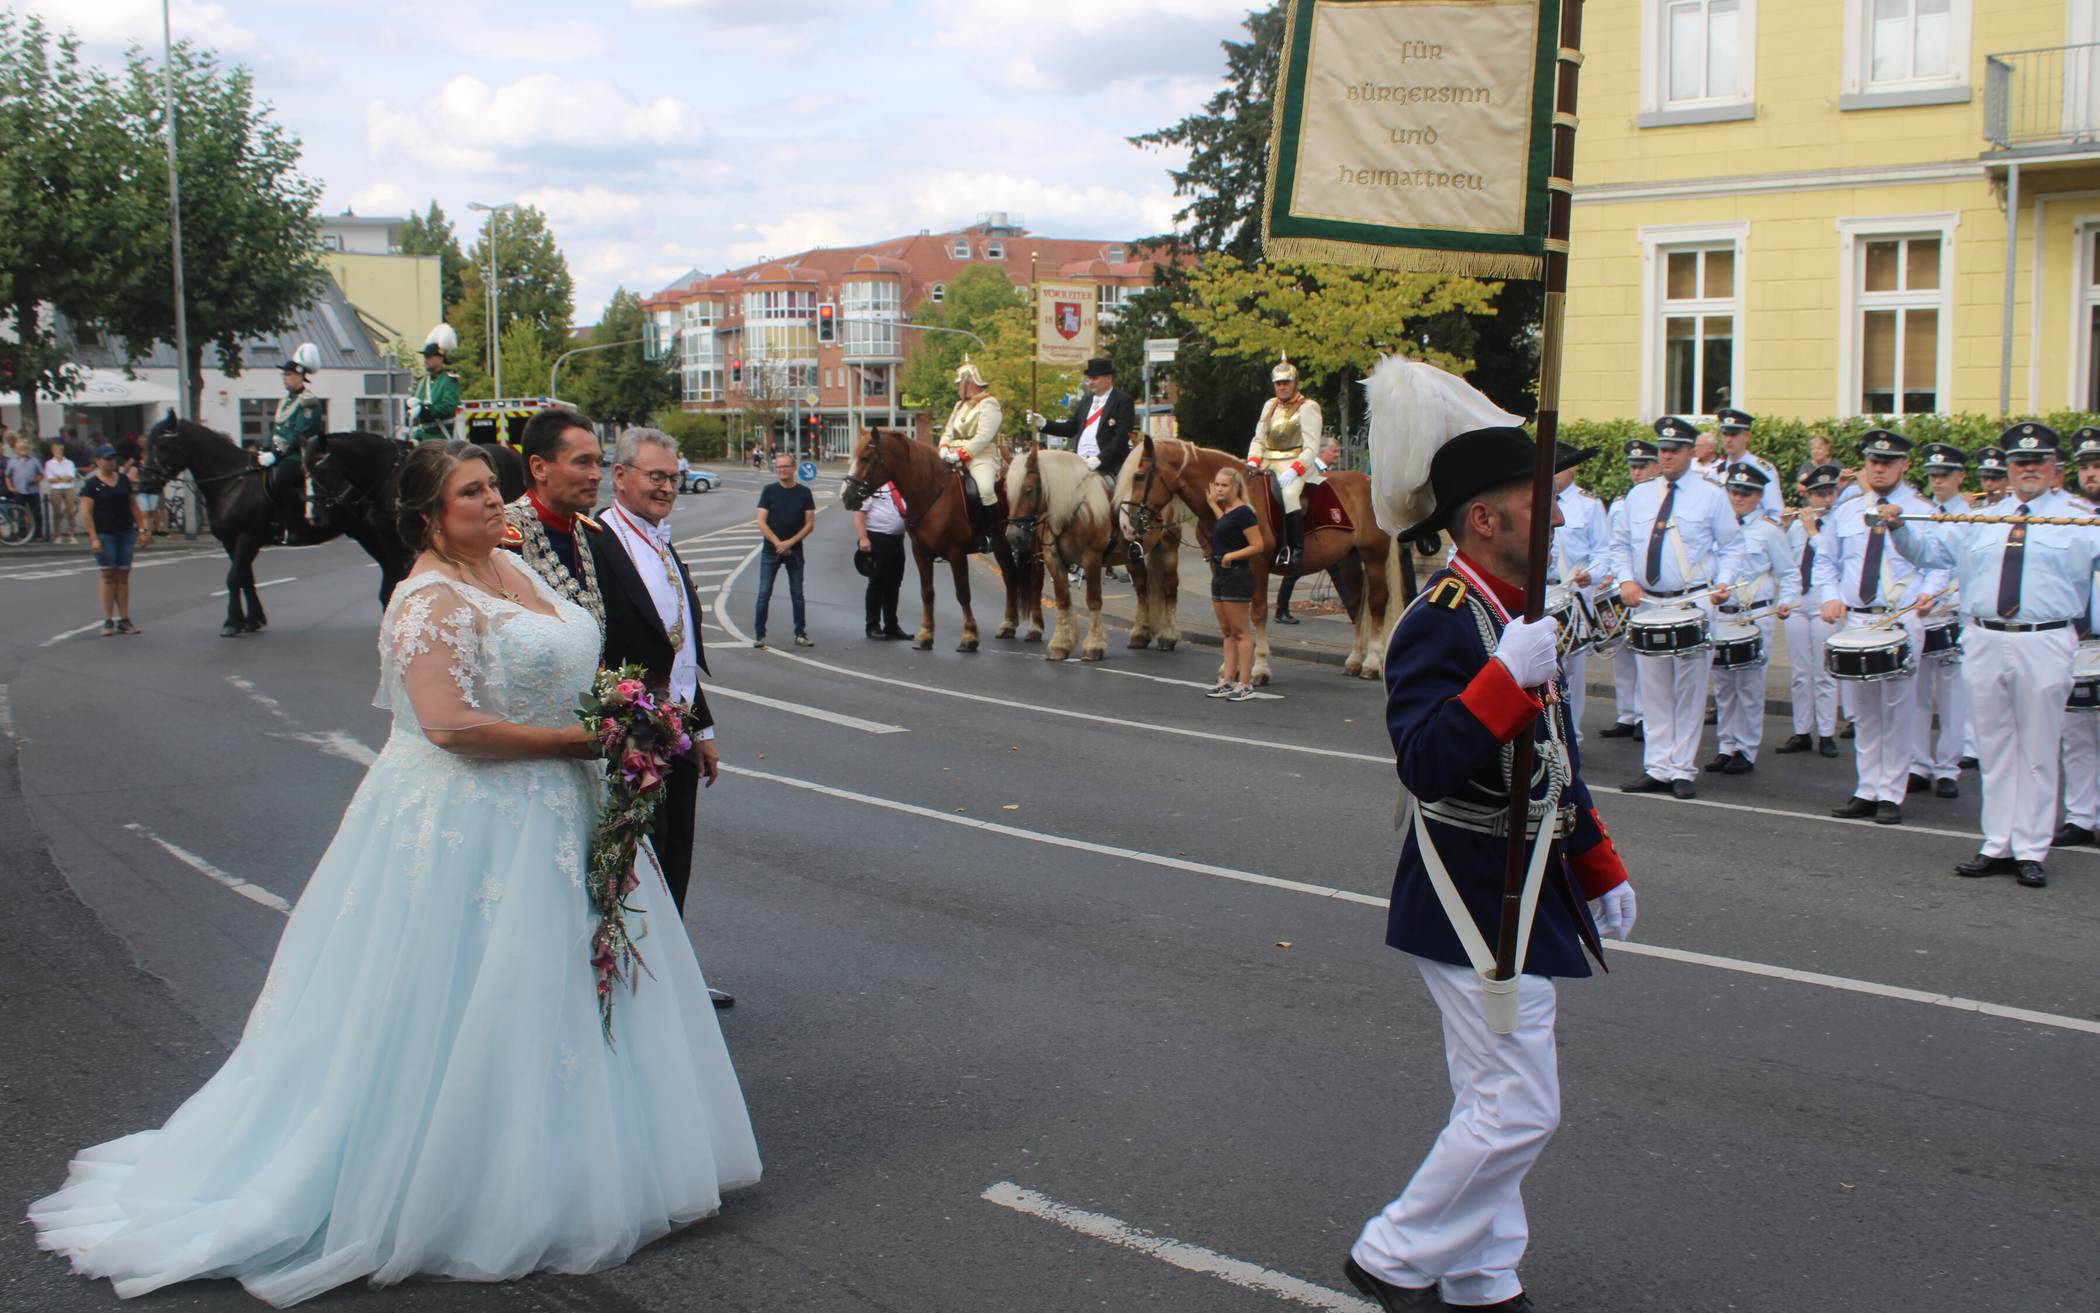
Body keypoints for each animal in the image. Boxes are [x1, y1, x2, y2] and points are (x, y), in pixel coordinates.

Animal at [140, 411, 413, 634]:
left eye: (163, 444)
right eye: (149, 443)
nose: (144, 483)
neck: (234, 482)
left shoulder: (248, 536)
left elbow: (233, 577)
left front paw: (232, 622)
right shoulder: (232, 540)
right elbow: (244, 577)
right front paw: (252, 620)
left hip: (370, 533)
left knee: (392, 568)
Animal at [831, 428, 1037, 651]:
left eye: (865, 458)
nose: (846, 497)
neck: (932, 492)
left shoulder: (956, 553)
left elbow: (963, 593)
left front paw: (969, 637)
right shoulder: (920, 552)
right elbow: (927, 592)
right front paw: (926, 635)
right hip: (1002, 544)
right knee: (1010, 575)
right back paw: (1008, 625)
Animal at [1003, 445, 1184, 659]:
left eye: (1029, 490)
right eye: (1006, 491)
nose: (1013, 537)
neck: (1071, 511)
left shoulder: (1092, 559)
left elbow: (1094, 600)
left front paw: (1094, 646)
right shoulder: (1053, 559)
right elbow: (1063, 599)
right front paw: (1061, 645)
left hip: (1168, 547)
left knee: (1170, 586)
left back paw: (1168, 636)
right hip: (1132, 557)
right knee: (1141, 588)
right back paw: (1140, 634)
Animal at [1125, 441, 1402, 684]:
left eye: (1139, 475)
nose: (1129, 524)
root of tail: (1369, 481)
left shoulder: (1257, 567)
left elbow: (1257, 613)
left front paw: (1258, 668)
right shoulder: (1219, 566)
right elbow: (1229, 611)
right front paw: (1229, 667)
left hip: (1373, 557)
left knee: (1376, 603)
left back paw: (1371, 663)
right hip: (1348, 561)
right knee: (1356, 605)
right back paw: (1354, 661)